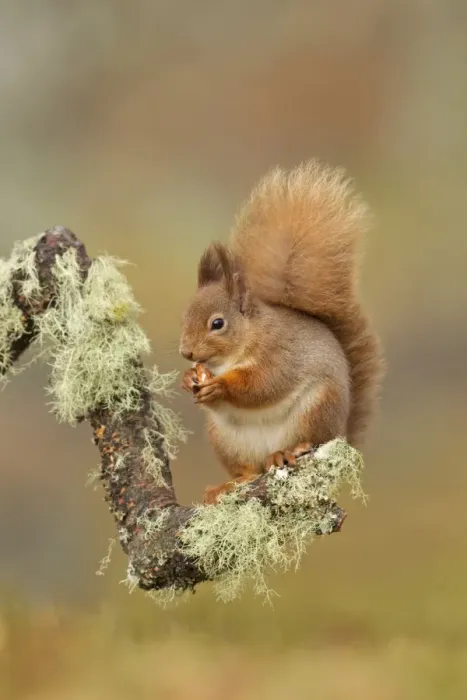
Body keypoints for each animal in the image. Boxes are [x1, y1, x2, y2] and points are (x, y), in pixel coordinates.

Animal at [179, 160, 384, 504]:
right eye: (184, 316)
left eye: (217, 324)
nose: (186, 353)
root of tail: (341, 433)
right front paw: (187, 379)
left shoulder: (280, 353)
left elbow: (264, 384)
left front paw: (220, 386)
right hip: (226, 439)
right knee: (250, 470)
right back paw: (229, 484)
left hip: (316, 408)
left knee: (307, 440)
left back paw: (288, 452)